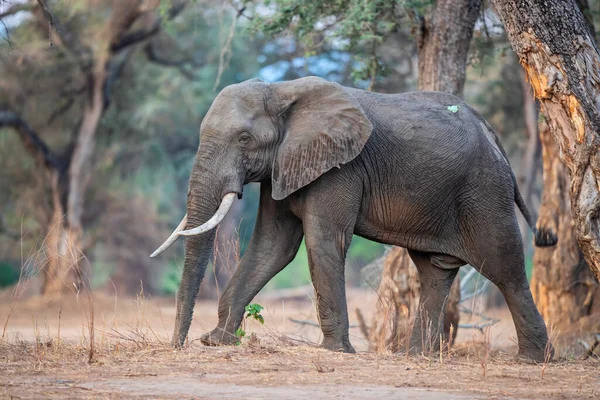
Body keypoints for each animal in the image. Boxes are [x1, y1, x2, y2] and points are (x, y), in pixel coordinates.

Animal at [151, 76, 556, 362]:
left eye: (244, 139)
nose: (178, 346)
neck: (281, 90)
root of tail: (493, 135)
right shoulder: (285, 164)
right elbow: (273, 246)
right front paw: (217, 340)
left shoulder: (340, 167)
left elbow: (323, 241)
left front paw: (334, 351)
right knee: (434, 270)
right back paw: (417, 356)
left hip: (484, 190)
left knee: (504, 267)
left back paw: (534, 360)